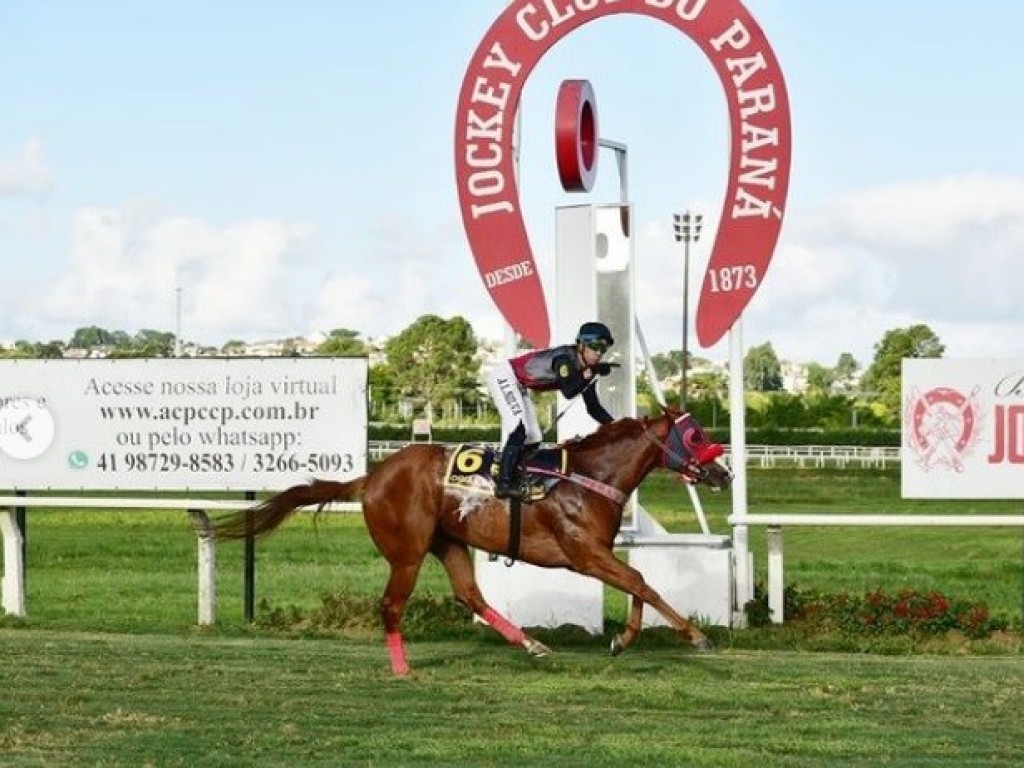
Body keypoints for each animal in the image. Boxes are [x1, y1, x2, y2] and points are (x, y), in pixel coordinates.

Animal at [211, 411, 733, 675]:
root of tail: (371, 477)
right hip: (408, 551)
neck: (588, 477)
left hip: (449, 542)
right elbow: (642, 582)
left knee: (470, 594)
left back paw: (533, 644)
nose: (723, 472)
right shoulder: (584, 554)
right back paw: (402, 669)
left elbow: (637, 582)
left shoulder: (595, 554)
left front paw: (622, 640)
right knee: (392, 605)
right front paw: (697, 636)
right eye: (695, 435)